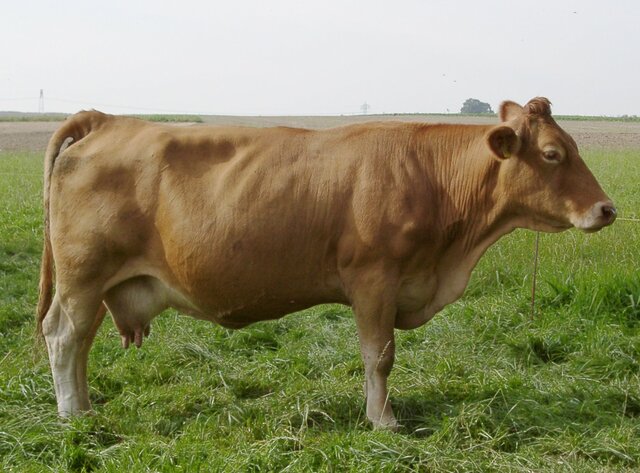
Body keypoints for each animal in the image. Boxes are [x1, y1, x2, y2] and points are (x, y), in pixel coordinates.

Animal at [37, 98, 615, 430]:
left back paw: (84, 408)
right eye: (553, 154)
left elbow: (375, 357)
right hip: (82, 276)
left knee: (80, 343)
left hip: (98, 282)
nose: (607, 209)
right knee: (64, 337)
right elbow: (380, 356)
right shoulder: (375, 279)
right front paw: (384, 421)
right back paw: (72, 417)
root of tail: (107, 120)